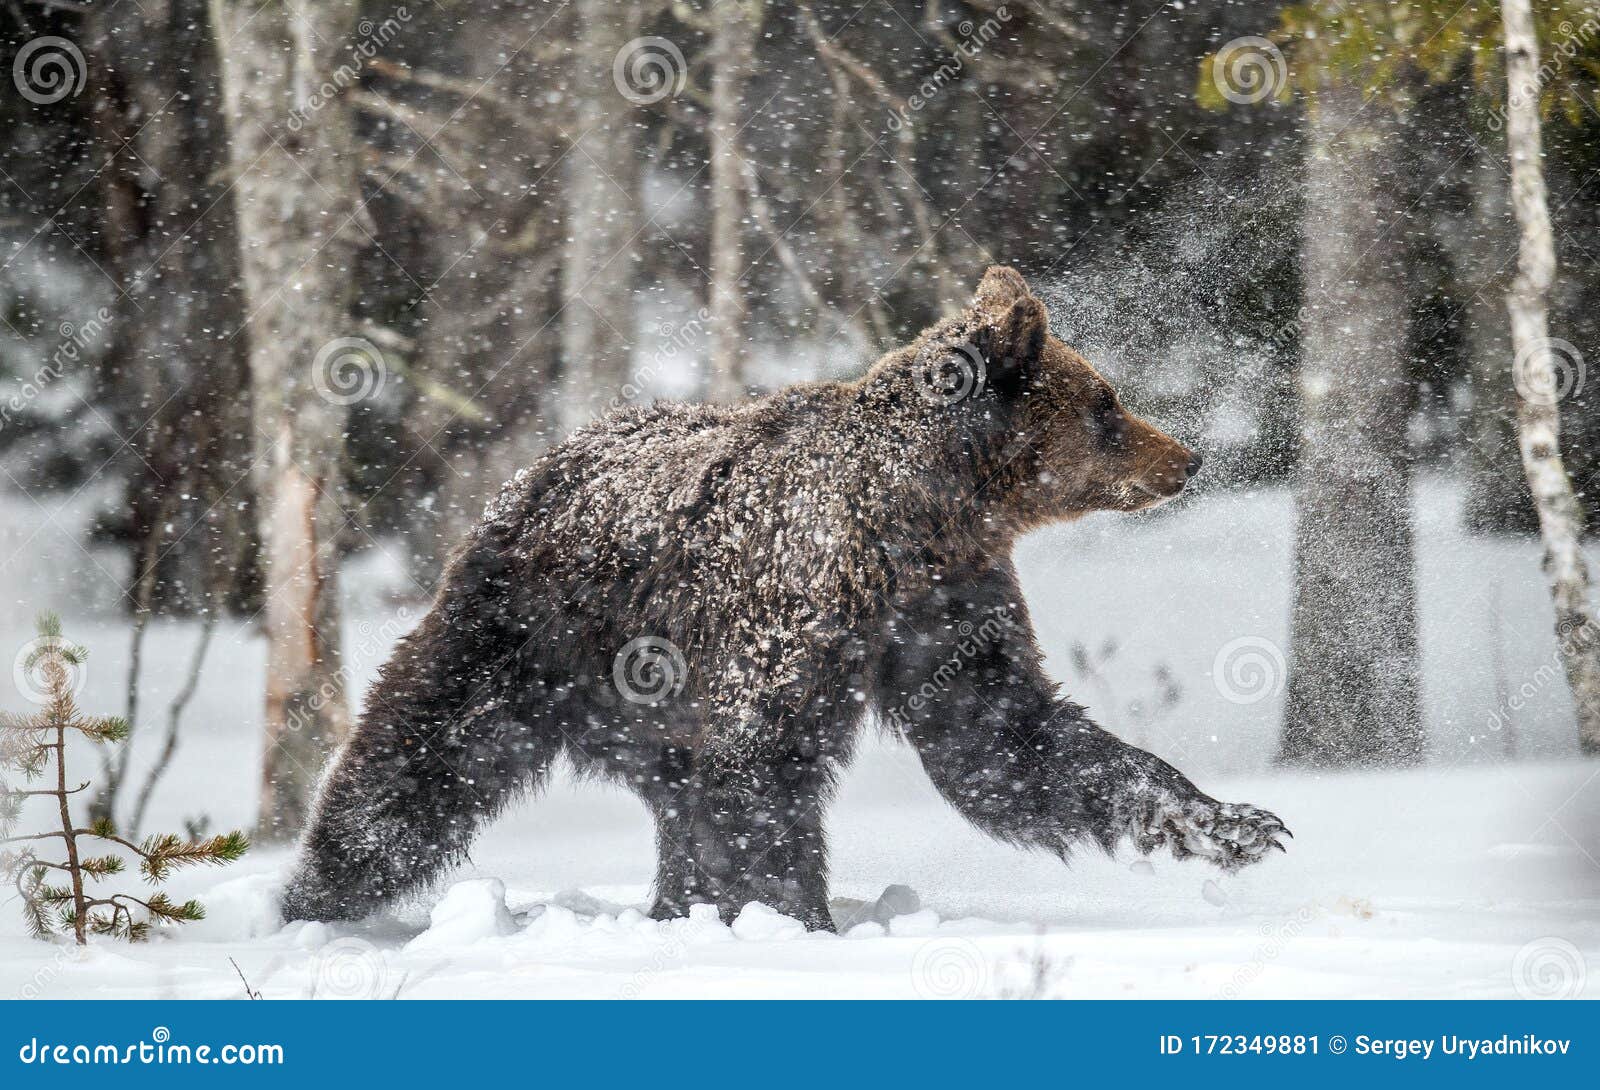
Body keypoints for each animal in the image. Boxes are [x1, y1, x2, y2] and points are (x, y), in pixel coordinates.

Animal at [284, 264, 1286, 928]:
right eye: (1106, 404)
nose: (1187, 457)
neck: (921, 515)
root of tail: (527, 475)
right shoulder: (796, 609)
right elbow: (765, 767)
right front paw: (798, 917)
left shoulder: (946, 606)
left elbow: (1009, 736)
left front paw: (1237, 825)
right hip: (525, 633)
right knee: (417, 765)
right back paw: (314, 896)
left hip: (647, 701)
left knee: (675, 802)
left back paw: (674, 906)